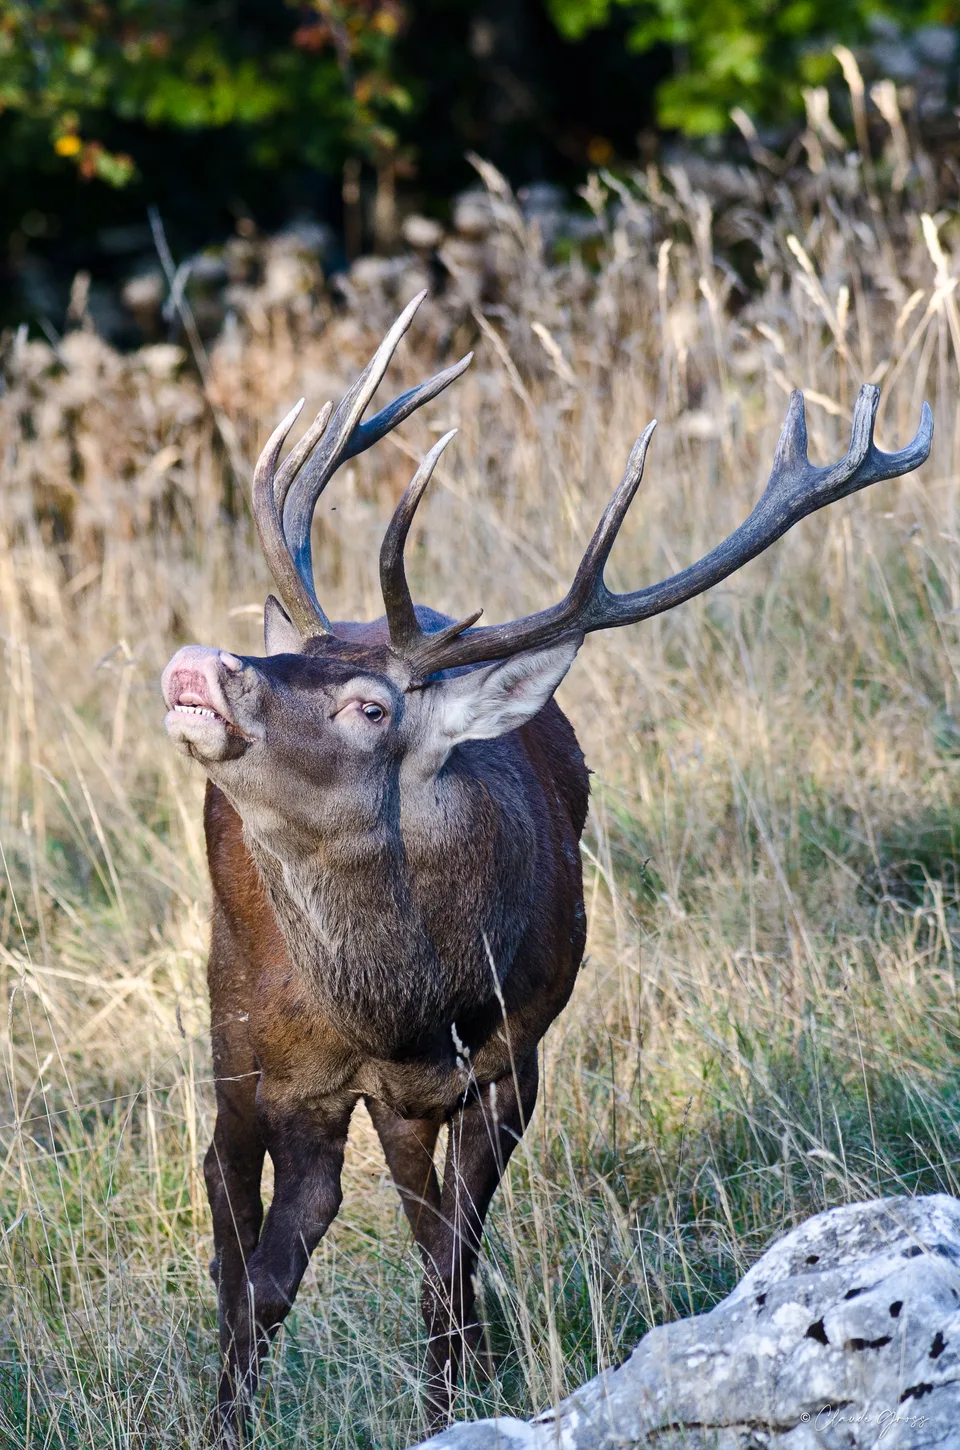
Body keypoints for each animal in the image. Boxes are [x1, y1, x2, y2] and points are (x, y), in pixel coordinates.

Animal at [160, 291, 932, 1442]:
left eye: (370, 707)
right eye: (298, 661)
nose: (199, 664)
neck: (408, 1001)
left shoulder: (515, 1051)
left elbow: (447, 1249)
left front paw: (454, 1395)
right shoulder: (296, 1075)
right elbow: (265, 1276)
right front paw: (233, 1420)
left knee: (414, 1216)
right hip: (233, 1020)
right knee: (231, 1208)